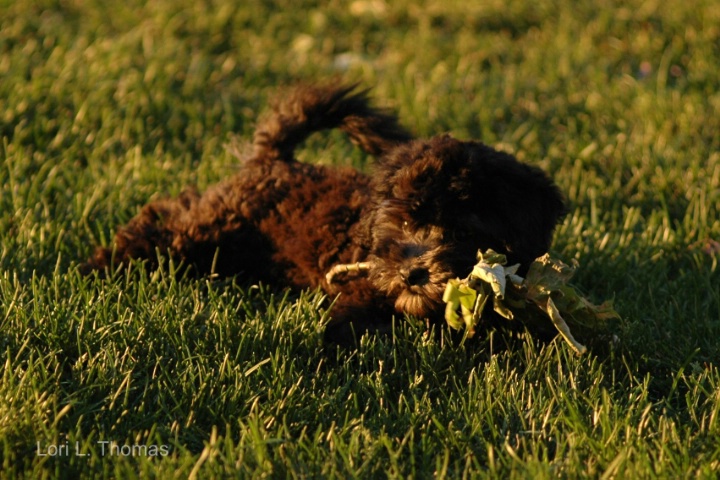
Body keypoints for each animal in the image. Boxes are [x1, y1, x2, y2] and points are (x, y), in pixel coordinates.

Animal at [83, 83, 568, 344]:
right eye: (404, 222)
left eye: (462, 231)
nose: (411, 273)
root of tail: (273, 160)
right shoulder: (360, 289)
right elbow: (348, 324)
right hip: (214, 228)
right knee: (167, 221)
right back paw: (102, 263)